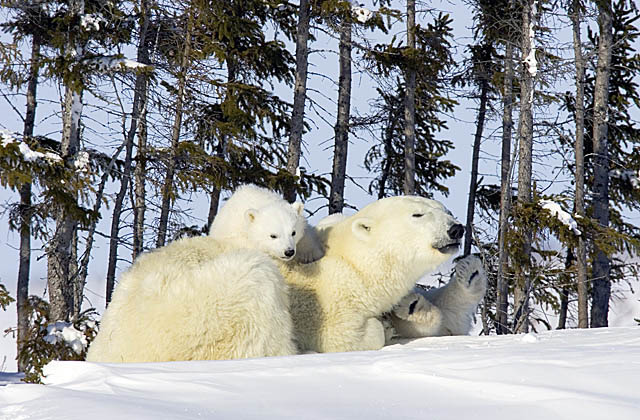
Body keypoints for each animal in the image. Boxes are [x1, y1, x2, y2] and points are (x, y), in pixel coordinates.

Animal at [87, 194, 462, 360]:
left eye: (445, 209)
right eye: (418, 214)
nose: (456, 228)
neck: (352, 264)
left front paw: (409, 310)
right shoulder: (327, 301)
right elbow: (342, 337)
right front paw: (381, 327)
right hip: (190, 318)